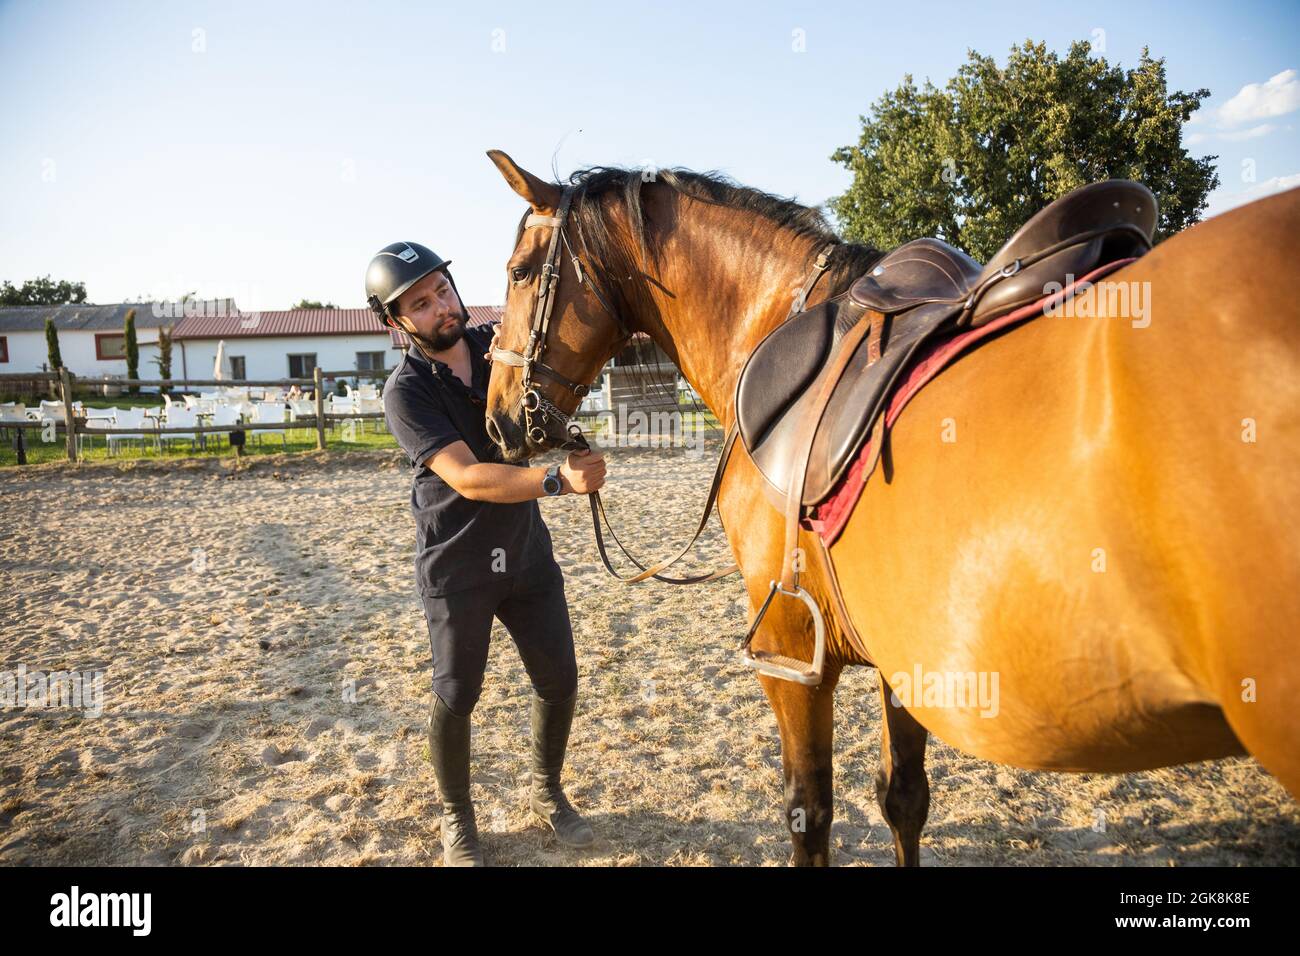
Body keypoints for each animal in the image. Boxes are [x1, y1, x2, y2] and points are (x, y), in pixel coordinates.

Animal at [478, 147, 1300, 868]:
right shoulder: (898, 649)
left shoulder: (790, 653)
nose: (499, 422)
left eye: (518, 273)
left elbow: (809, 812)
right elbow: (904, 797)